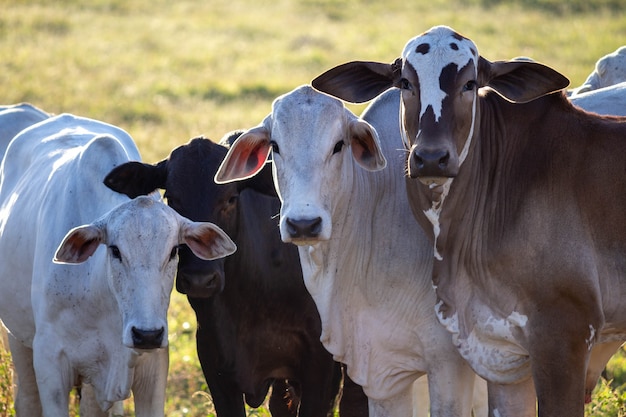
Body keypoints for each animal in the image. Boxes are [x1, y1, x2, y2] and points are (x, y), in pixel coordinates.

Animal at [0, 112, 236, 414]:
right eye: (114, 250)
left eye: (174, 251)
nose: (146, 335)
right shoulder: (50, 365)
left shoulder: (152, 370)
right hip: (19, 340)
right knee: (27, 400)